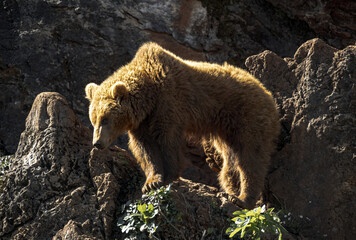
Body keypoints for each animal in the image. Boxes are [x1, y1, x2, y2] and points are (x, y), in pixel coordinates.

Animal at [85, 42, 280, 209]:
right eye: (93, 120)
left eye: (105, 119)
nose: (97, 143)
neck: (149, 94)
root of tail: (267, 92)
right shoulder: (142, 122)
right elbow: (145, 149)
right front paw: (151, 182)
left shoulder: (169, 103)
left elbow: (168, 141)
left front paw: (169, 176)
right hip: (226, 130)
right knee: (230, 161)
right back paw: (231, 190)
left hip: (248, 117)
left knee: (249, 158)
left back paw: (242, 199)